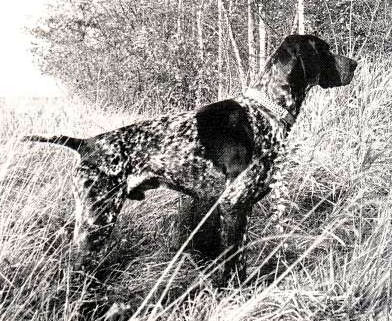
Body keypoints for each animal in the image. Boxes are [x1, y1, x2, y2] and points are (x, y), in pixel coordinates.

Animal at [23, 35, 356, 282]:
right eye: (325, 49)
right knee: (75, 266)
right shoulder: (232, 204)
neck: (264, 111)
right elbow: (230, 263)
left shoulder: (243, 208)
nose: (355, 63)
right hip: (97, 218)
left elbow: (240, 261)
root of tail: (86, 143)